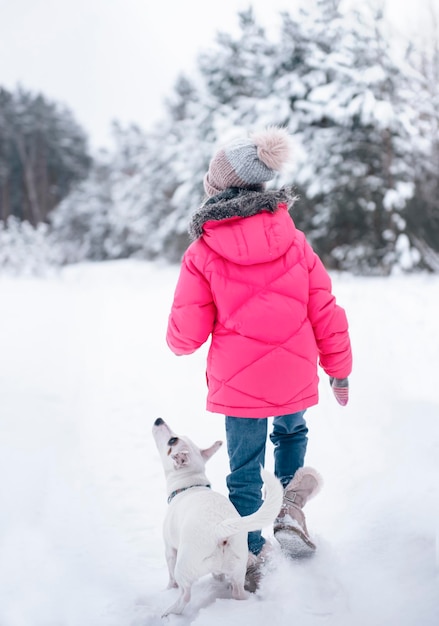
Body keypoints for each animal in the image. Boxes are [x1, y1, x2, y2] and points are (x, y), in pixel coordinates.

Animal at [153, 416, 284, 612]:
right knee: (238, 592)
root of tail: (219, 528)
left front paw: (168, 589)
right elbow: (218, 576)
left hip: (183, 566)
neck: (190, 485)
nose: (158, 419)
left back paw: (170, 611)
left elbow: (170, 578)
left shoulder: (169, 550)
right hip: (237, 568)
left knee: (185, 594)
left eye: (172, 441)